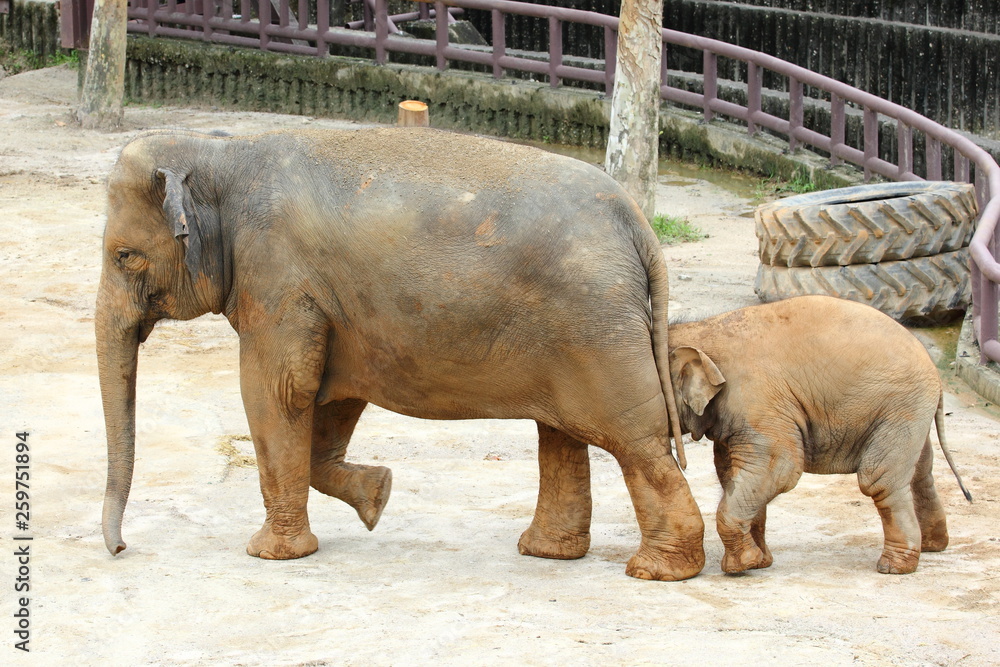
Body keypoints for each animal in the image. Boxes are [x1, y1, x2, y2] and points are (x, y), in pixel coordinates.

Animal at [96, 127, 706, 581]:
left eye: (123, 255)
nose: (120, 550)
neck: (221, 151)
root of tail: (638, 224)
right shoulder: (334, 309)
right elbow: (329, 396)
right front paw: (379, 497)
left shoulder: (276, 277)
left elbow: (277, 390)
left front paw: (268, 554)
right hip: (577, 331)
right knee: (561, 434)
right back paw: (547, 552)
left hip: (596, 328)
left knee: (636, 441)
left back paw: (656, 571)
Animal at [666, 295, 972, 574]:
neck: (702, 329)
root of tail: (936, 374)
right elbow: (732, 472)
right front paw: (758, 562)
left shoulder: (757, 402)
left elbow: (779, 469)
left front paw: (740, 567)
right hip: (911, 412)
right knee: (920, 472)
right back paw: (931, 546)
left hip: (899, 407)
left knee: (879, 479)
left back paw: (894, 567)